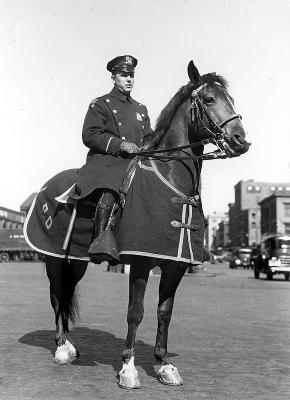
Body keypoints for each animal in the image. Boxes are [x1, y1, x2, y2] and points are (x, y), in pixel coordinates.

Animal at [23, 61, 250, 390]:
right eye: (209, 100)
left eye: (230, 100)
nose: (240, 140)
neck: (170, 179)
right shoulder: (141, 261)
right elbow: (136, 312)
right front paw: (128, 368)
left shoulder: (175, 264)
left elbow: (164, 312)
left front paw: (163, 365)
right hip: (52, 258)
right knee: (56, 297)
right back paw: (62, 348)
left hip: (75, 261)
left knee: (66, 293)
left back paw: (70, 345)